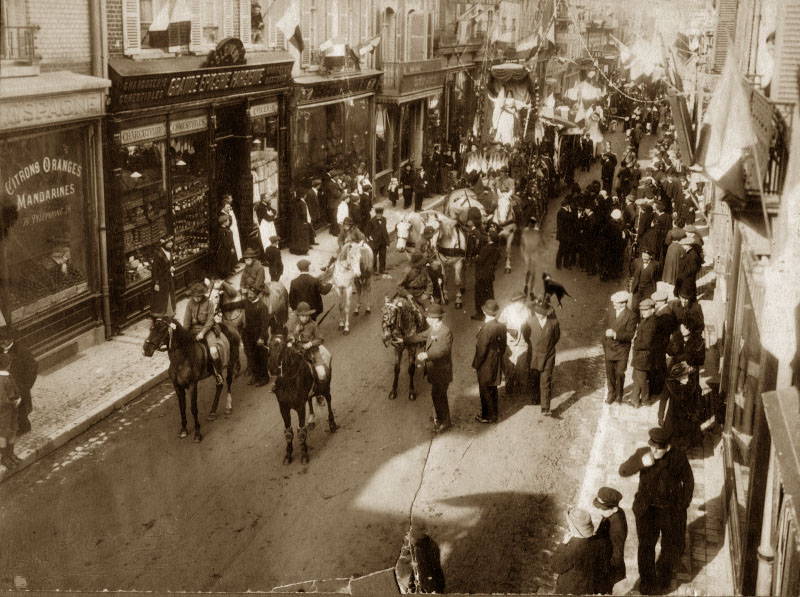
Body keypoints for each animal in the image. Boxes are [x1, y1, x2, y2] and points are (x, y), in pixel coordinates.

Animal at [266, 332, 334, 464]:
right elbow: (288, 432)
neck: (288, 382)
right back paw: (312, 419)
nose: (272, 368)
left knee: (328, 399)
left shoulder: (300, 407)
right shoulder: (283, 408)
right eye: (269, 346)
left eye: (283, 347)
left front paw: (304, 454)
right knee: (310, 399)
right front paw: (288, 455)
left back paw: (332, 423)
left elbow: (301, 431)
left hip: (326, 386)